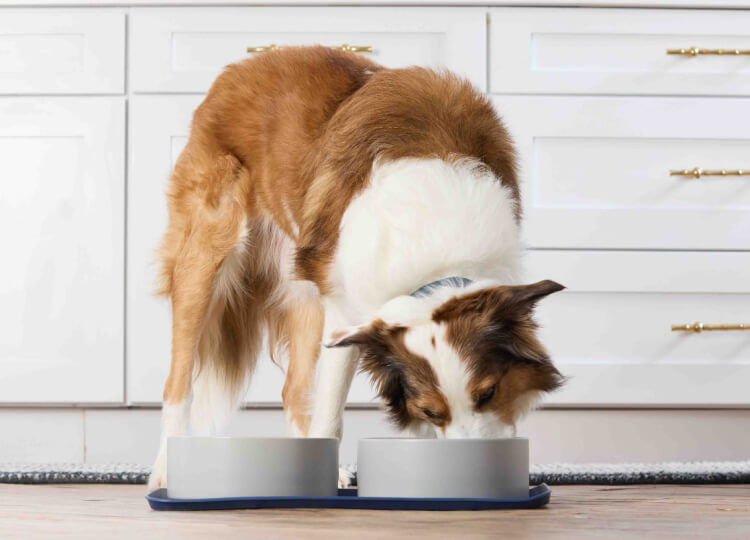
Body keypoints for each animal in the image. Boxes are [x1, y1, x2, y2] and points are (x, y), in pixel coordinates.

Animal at [147, 48, 564, 492]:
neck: (438, 259)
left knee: (294, 390)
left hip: (304, 286)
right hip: (208, 256)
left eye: (488, 394)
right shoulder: (346, 317)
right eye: (431, 411)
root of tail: (241, 66)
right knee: (177, 382)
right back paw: (165, 470)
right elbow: (331, 416)